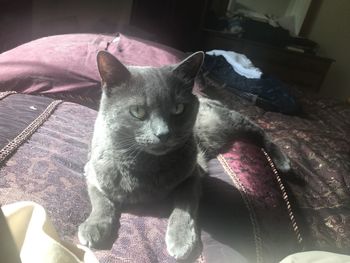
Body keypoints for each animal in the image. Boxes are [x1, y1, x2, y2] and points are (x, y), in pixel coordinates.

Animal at [78, 50, 290, 260]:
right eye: (138, 111)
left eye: (178, 108)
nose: (163, 133)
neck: (143, 166)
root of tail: (207, 97)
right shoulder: (90, 170)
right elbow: (100, 200)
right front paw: (93, 226)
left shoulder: (193, 174)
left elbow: (184, 204)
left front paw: (181, 241)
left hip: (230, 121)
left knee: (259, 130)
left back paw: (284, 162)